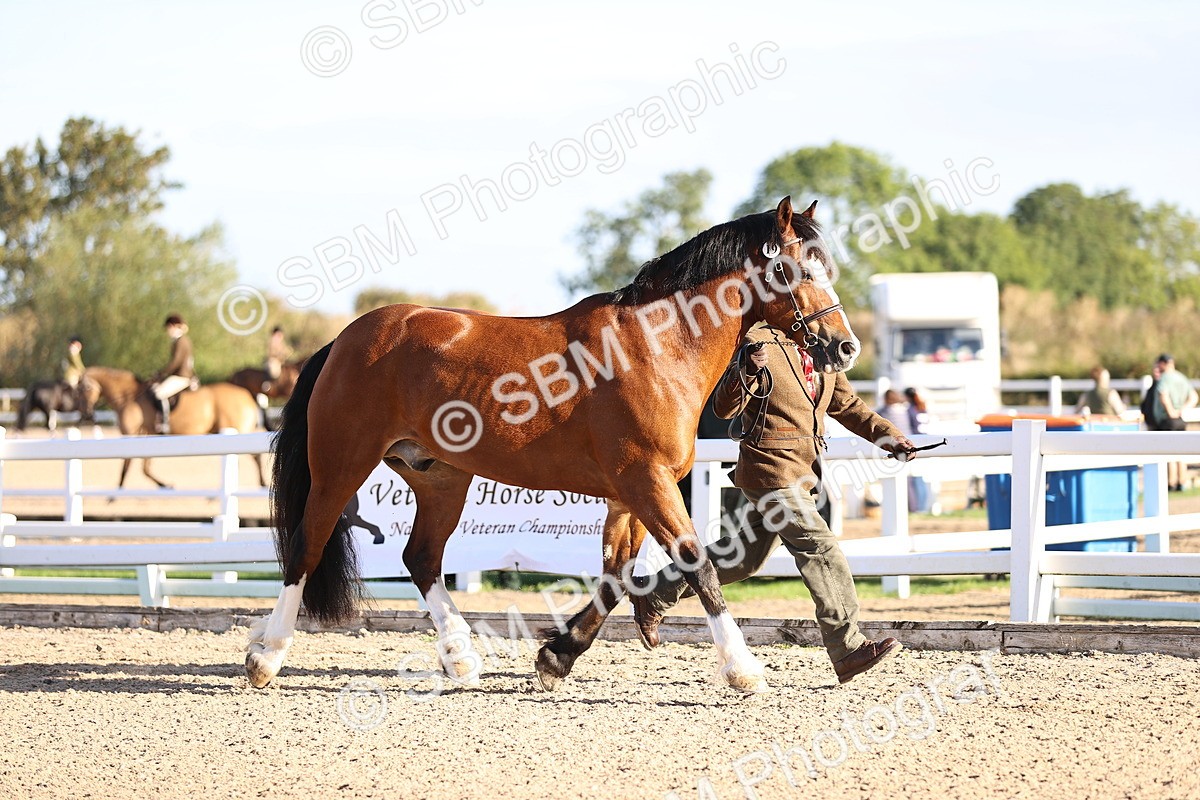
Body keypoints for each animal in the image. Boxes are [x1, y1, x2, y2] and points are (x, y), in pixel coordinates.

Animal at [82, 366, 267, 487]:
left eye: (83, 388)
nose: (87, 415)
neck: (129, 396)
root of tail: (246, 393)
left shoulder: (132, 434)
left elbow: (128, 466)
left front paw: (115, 493)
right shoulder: (146, 436)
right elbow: (144, 467)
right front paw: (164, 485)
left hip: (236, 428)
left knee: (254, 457)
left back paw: (262, 483)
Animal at [245, 197, 861, 694]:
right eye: (796, 267)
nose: (844, 346)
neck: (657, 345)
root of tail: (346, 339)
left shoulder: (630, 493)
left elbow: (616, 576)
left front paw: (556, 657)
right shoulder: (648, 481)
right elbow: (696, 563)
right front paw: (743, 669)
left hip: (440, 477)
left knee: (420, 558)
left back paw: (461, 658)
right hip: (340, 466)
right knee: (305, 550)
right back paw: (265, 656)